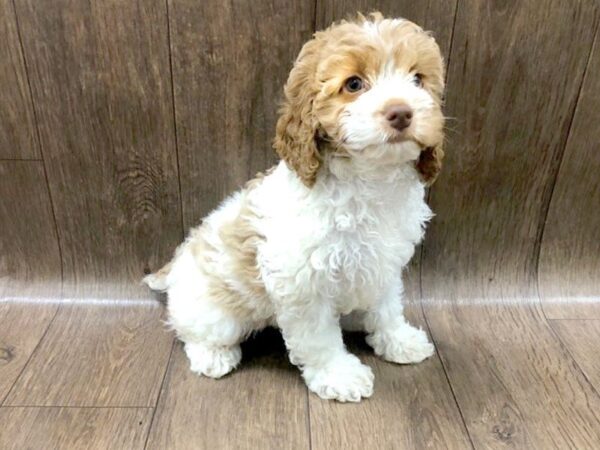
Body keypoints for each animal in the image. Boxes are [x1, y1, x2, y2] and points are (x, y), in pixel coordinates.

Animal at [144, 12, 446, 402]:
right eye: (353, 84)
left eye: (418, 79)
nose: (401, 112)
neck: (368, 181)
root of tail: (177, 265)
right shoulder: (303, 283)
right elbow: (319, 338)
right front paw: (338, 374)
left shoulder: (385, 264)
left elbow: (387, 307)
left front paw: (399, 340)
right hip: (214, 313)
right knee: (194, 332)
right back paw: (213, 356)